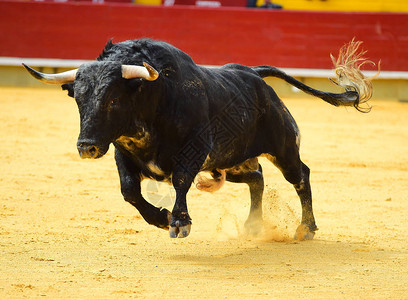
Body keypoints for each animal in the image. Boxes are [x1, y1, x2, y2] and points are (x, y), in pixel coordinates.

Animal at [23, 38, 374, 239]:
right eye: (79, 99)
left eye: (113, 100)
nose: (87, 147)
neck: (155, 97)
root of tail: (254, 74)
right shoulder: (122, 152)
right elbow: (129, 190)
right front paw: (161, 219)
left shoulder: (193, 151)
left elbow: (179, 181)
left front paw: (179, 223)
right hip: (232, 162)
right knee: (258, 177)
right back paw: (252, 226)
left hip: (283, 147)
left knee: (301, 175)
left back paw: (306, 229)